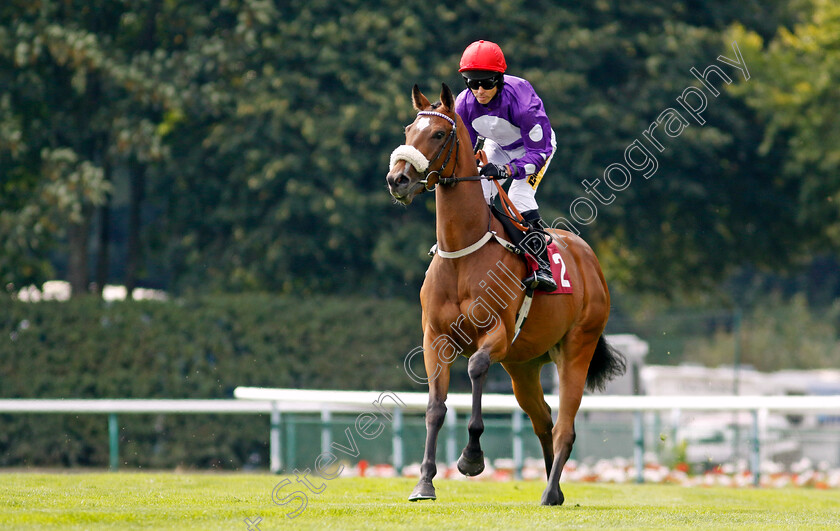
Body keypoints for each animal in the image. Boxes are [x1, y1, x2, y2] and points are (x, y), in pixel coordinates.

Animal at [388, 84, 624, 508]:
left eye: (438, 134)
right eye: (409, 129)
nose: (396, 178)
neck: (463, 252)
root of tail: (589, 260)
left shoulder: (496, 333)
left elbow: (476, 368)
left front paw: (471, 458)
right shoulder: (435, 338)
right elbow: (435, 407)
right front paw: (424, 483)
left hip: (576, 347)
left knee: (565, 426)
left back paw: (549, 491)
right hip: (524, 364)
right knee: (543, 418)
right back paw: (554, 489)